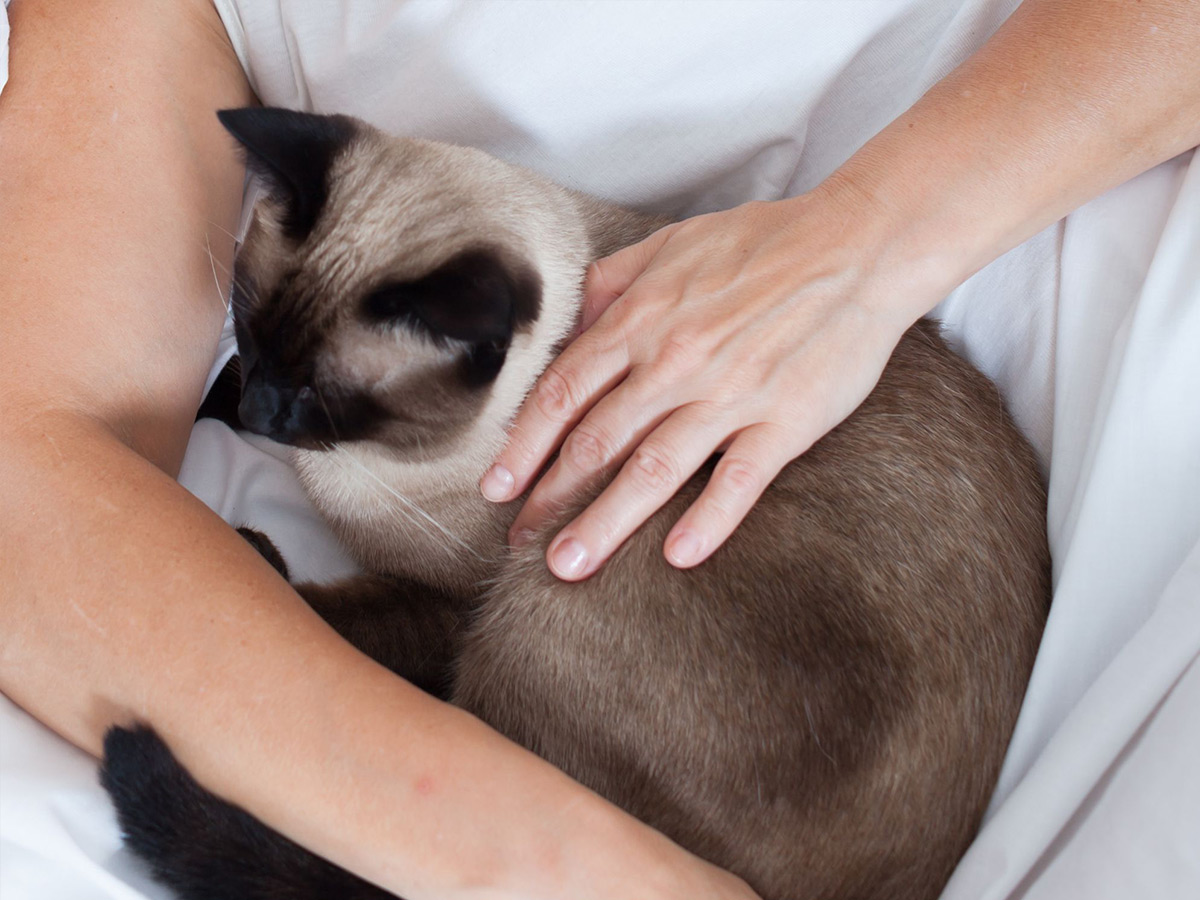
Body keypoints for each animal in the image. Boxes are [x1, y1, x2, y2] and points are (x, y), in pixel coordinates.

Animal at [98, 111, 1051, 900]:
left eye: (320, 402)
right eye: (251, 331)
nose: (263, 414)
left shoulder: (451, 604)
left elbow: (320, 608)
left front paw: (254, 545)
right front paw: (213, 405)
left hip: (553, 589)